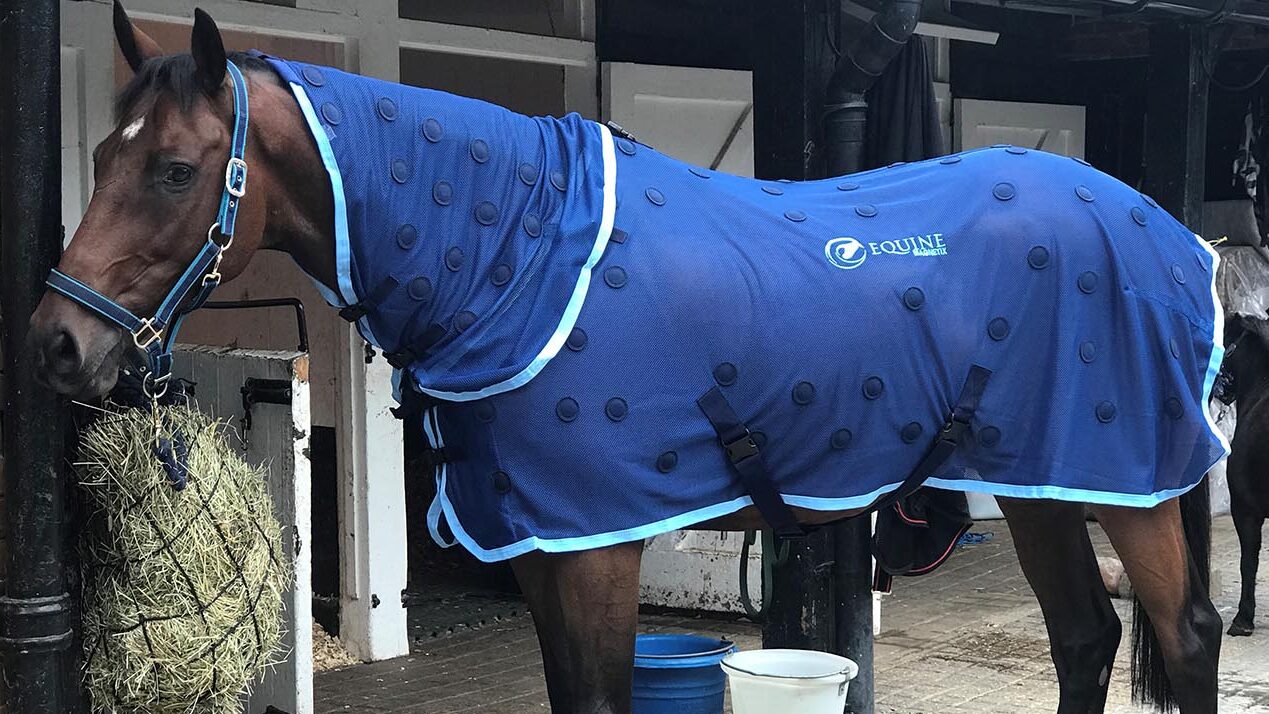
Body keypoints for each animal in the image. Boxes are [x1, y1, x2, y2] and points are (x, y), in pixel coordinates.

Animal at [26, 4, 1228, 713]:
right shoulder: (544, 548)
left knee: (1185, 632)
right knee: (1085, 638)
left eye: (177, 170)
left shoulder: (596, 549)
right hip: (1045, 482)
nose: (56, 344)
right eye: (103, 156)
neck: (514, 254)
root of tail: (1170, 240)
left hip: (1123, 481)